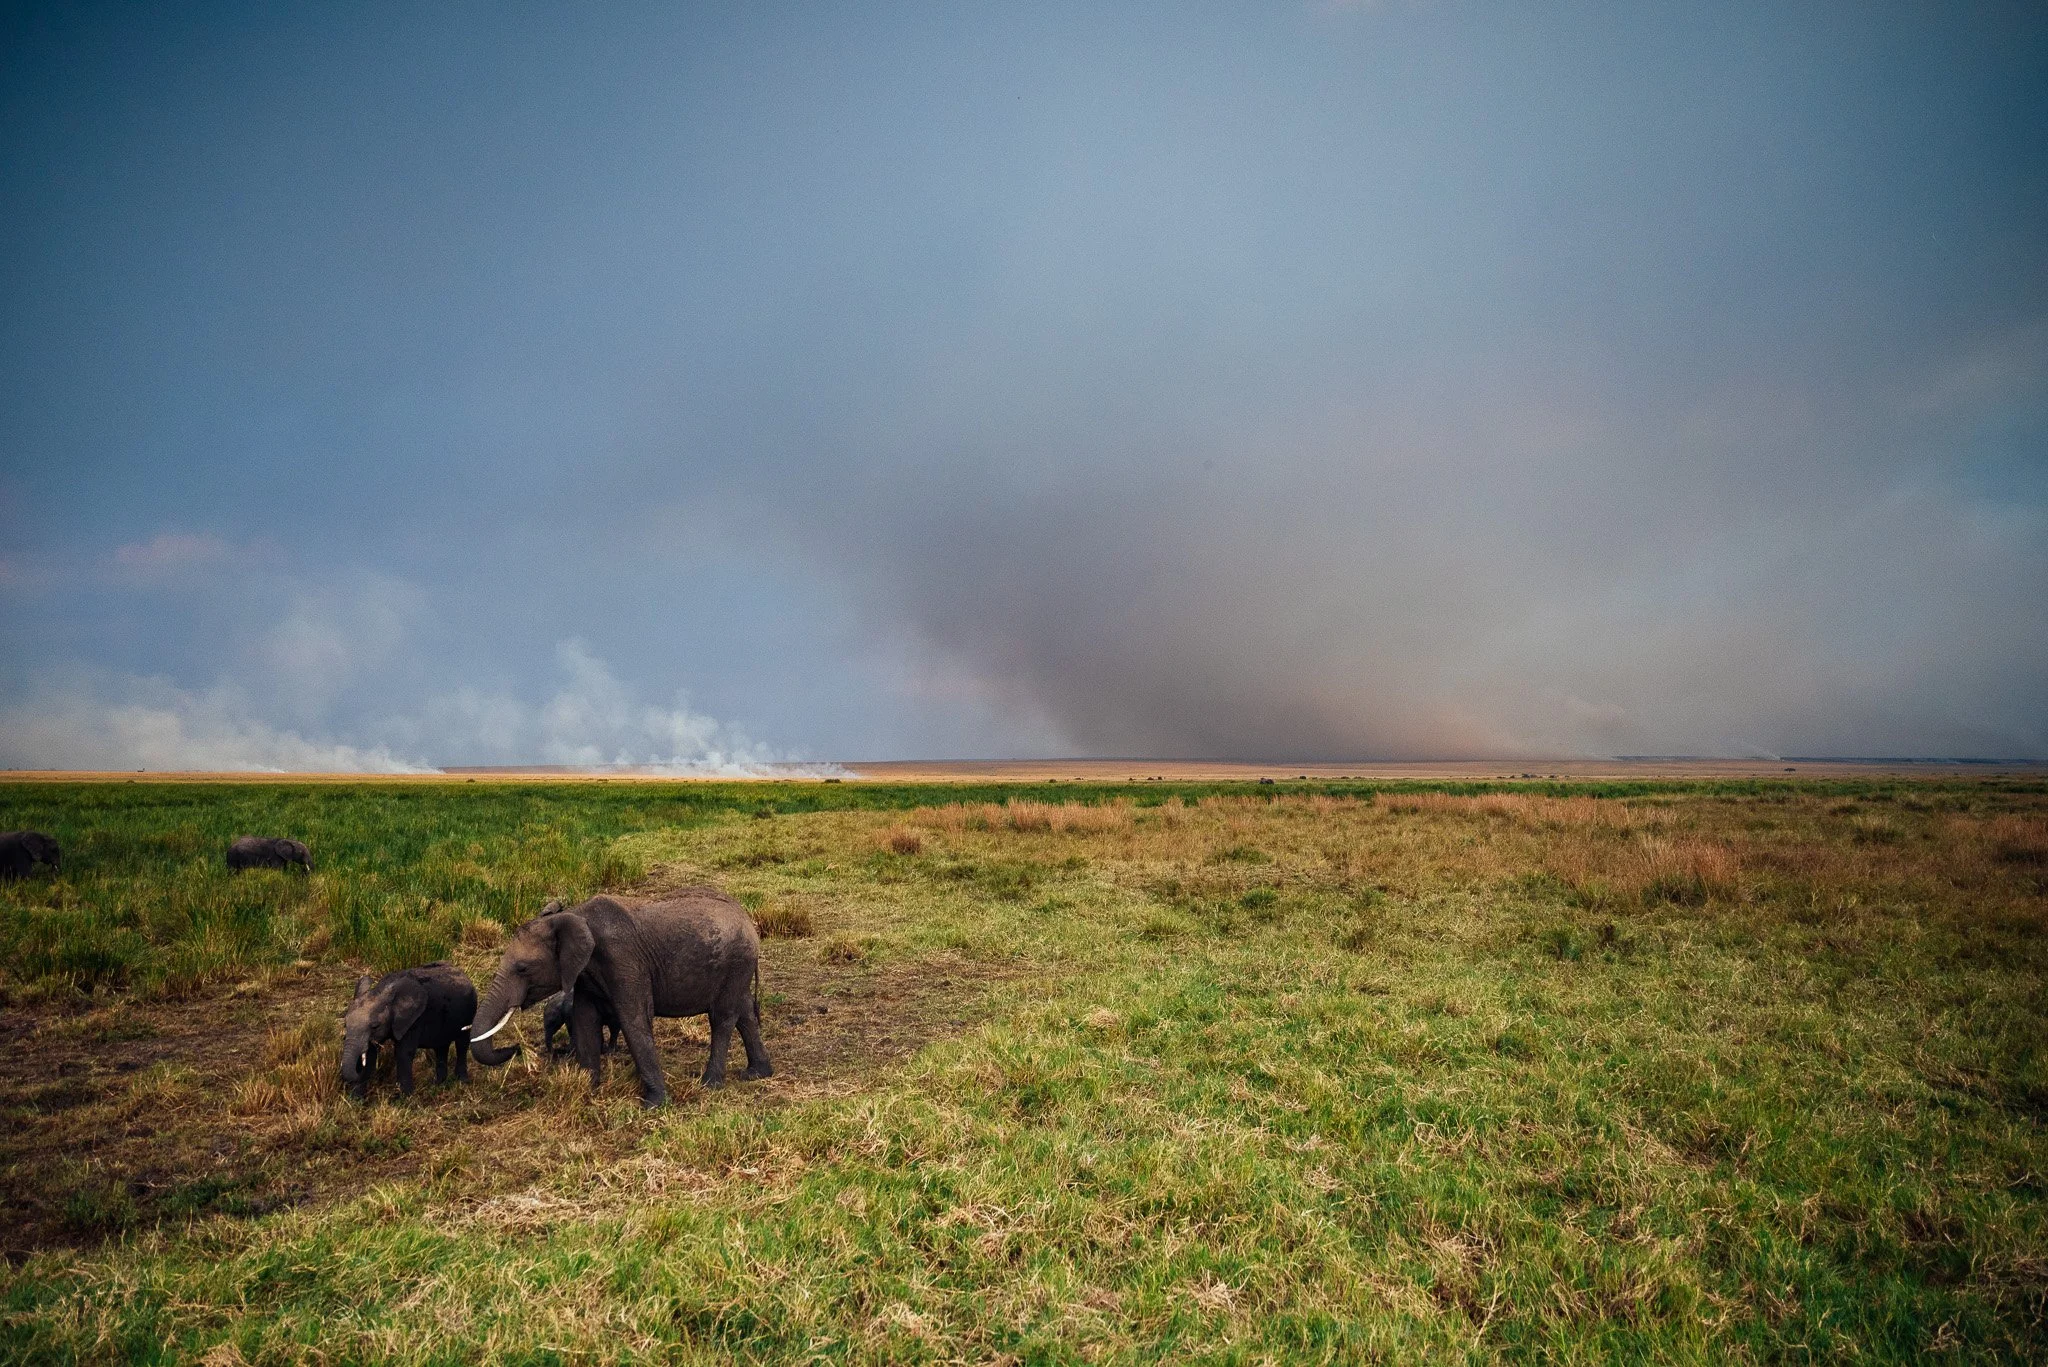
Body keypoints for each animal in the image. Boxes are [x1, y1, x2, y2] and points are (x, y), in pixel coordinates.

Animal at [340, 961, 476, 1099]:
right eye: (345, 1024)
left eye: (375, 1026)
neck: (380, 991)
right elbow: (370, 1055)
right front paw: (356, 1100)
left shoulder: (415, 1020)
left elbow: (403, 1053)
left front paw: (405, 1098)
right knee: (441, 1047)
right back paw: (438, 1084)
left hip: (469, 1011)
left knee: (462, 1044)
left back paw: (462, 1081)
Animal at [469, 888, 772, 1107]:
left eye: (522, 968)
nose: (515, 1049)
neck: (574, 915)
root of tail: (747, 918)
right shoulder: (584, 974)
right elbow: (584, 1022)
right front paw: (588, 1089)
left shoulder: (623, 960)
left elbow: (634, 1020)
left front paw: (653, 1104)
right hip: (737, 968)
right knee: (744, 1012)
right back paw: (756, 1074)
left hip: (735, 963)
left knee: (722, 1017)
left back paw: (710, 1084)